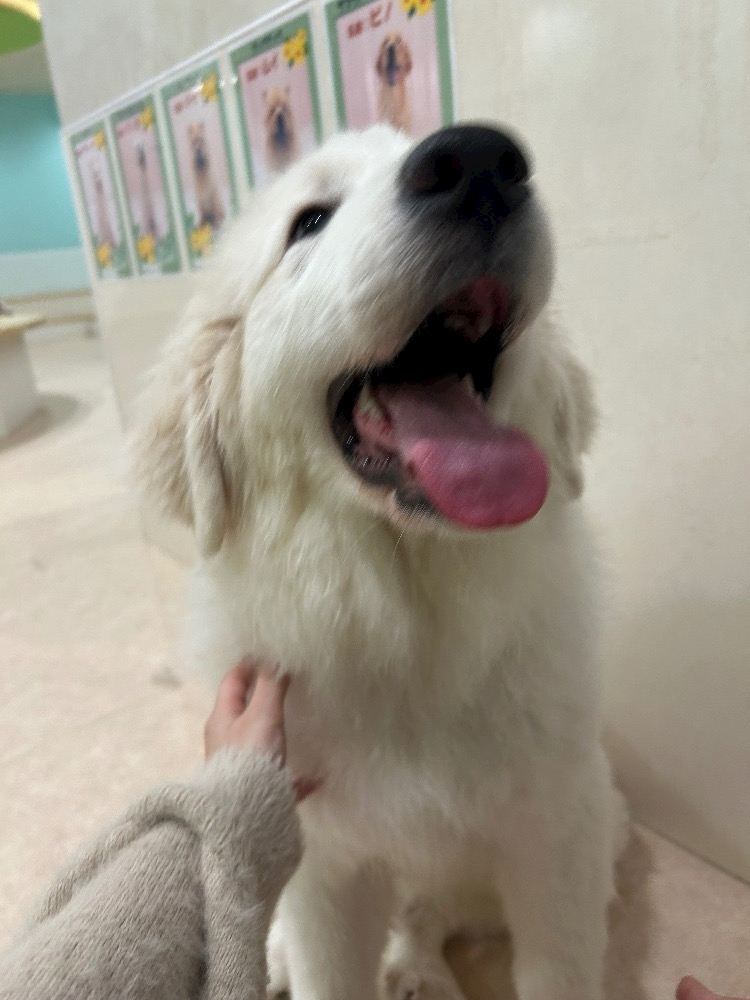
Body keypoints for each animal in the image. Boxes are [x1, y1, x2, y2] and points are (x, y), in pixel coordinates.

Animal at [135, 123, 626, 1000]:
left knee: (427, 912)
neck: (406, 617)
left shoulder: (561, 835)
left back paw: (417, 971)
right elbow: (326, 963)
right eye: (309, 222)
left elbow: (559, 968)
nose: (478, 160)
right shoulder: (326, 863)